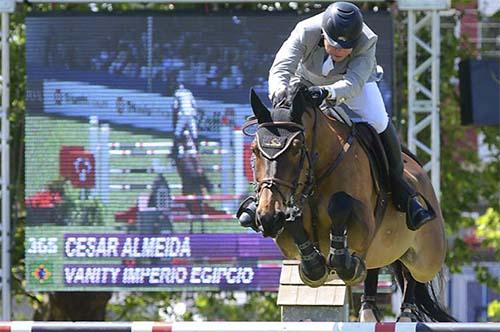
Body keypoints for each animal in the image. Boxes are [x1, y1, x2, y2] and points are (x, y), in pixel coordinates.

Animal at [248, 85, 456, 322]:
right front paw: (315, 261)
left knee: (412, 273)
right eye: (255, 149)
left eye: (297, 148)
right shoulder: (288, 243)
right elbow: (299, 235)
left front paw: (347, 264)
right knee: (375, 266)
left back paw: (406, 313)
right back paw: (368, 310)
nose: (269, 217)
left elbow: (340, 204)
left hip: (427, 257)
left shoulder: (363, 224)